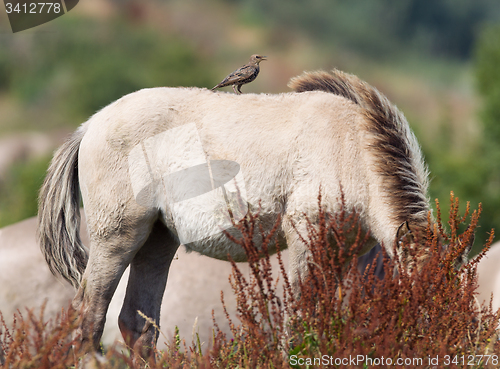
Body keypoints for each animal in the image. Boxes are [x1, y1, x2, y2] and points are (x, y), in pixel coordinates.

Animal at [36, 67, 434, 358]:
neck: (350, 148)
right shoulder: (306, 238)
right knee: (88, 315)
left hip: (157, 241)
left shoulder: (340, 253)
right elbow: (299, 320)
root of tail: (90, 126)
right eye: (418, 296)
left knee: (137, 326)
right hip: (117, 238)